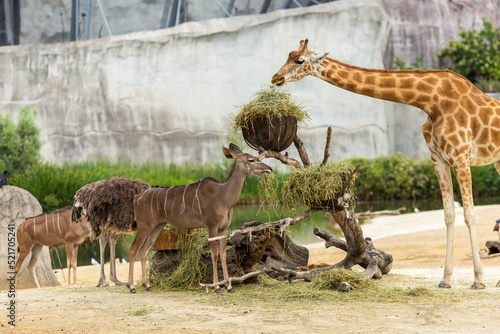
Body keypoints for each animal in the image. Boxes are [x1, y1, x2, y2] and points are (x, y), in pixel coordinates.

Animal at [127, 144, 272, 292]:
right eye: (251, 160)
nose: (269, 169)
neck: (224, 197)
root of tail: (137, 197)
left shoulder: (223, 229)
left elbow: (223, 254)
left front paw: (229, 286)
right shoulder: (212, 226)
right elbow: (214, 254)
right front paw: (217, 287)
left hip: (157, 226)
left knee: (143, 250)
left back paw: (147, 285)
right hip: (144, 226)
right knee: (133, 249)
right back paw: (132, 287)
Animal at [272, 39, 500, 290]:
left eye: (299, 60)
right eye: (288, 56)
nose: (276, 77)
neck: (431, 102)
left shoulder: (460, 156)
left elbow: (469, 215)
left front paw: (478, 280)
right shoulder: (438, 158)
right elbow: (449, 214)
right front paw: (445, 279)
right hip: (497, 161)